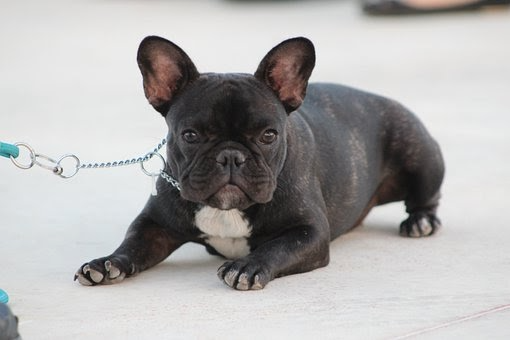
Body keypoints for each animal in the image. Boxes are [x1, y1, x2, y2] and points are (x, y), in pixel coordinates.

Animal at [73, 35, 444, 290]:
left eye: (268, 135)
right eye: (190, 135)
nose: (231, 155)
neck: (226, 211)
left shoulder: (309, 233)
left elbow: (278, 247)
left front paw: (247, 267)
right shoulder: (154, 224)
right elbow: (133, 242)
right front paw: (107, 263)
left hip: (420, 155)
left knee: (426, 196)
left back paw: (420, 221)